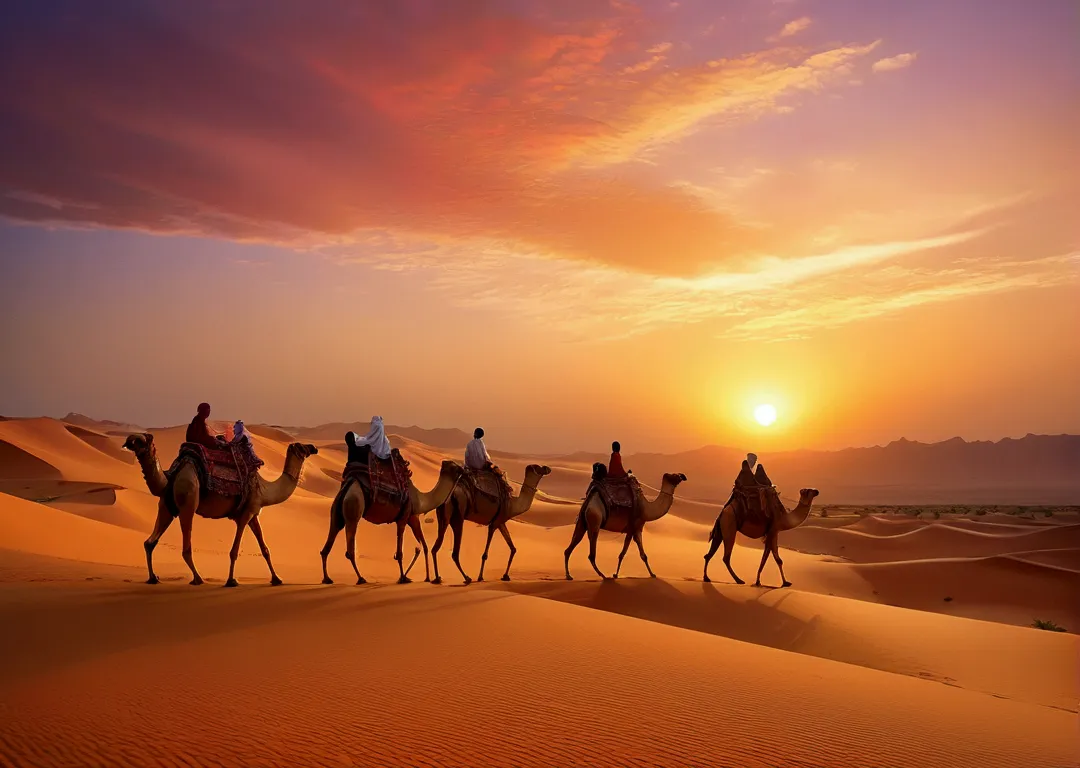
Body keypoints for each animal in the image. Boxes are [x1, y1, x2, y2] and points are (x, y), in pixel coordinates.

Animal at [122, 432, 317, 587]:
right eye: (302, 447)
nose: (314, 447)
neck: (264, 488)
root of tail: (175, 471)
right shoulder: (244, 515)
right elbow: (234, 551)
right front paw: (231, 581)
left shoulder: (254, 514)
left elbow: (265, 549)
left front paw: (277, 579)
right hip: (188, 500)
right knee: (185, 547)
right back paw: (197, 579)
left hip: (166, 507)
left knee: (150, 542)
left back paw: (153, 578)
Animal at [315, 460, 460, 587]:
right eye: (454, 465)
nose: (463, 469)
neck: (420, 500)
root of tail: (348, 485)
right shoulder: (403, 518)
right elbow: (400, 552)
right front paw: (403, 578)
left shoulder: (413, 519)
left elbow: (423, 546)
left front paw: (427, 578)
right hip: (353, 507)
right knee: (350, 550)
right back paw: (361, 578)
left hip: (337, 513)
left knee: (327, 546)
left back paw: (327, 579)